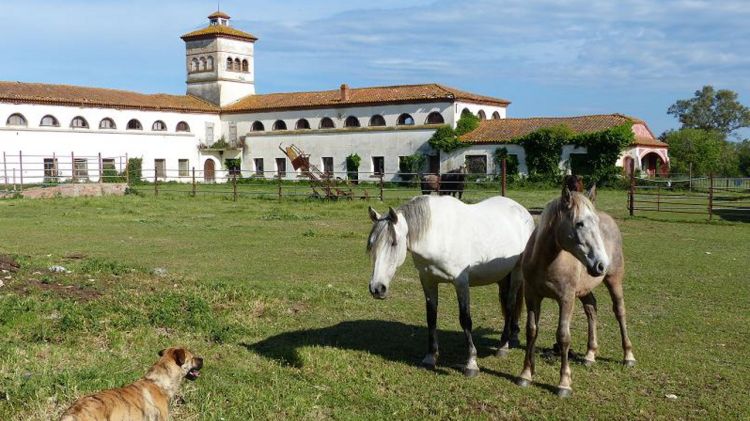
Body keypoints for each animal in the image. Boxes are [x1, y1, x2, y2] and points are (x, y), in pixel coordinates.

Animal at [368, 195, 536, 376]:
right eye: (372, 244)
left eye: (393, 243)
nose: (377, 288)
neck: (437, 234)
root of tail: (522, 211)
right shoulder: (428, 281)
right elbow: (431, 318)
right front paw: (430, 357)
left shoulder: (461, 282)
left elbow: (465, 320)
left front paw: (471, 363)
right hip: (502, 275)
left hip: (517, 272)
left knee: (510, 304)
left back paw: (503, 346)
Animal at [520, 185, 636, 396]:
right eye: (579, 223)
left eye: (595, 223)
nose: (601, 265)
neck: (546, 262)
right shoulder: (532, 296)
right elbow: (531, 330)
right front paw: (525, 374)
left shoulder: (566, 299)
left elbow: (563, 336)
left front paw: (564, 383)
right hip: (584, 290)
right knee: (591, 308)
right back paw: (590, 355)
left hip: (614, 281)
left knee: (619, 311)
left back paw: (628, 356)